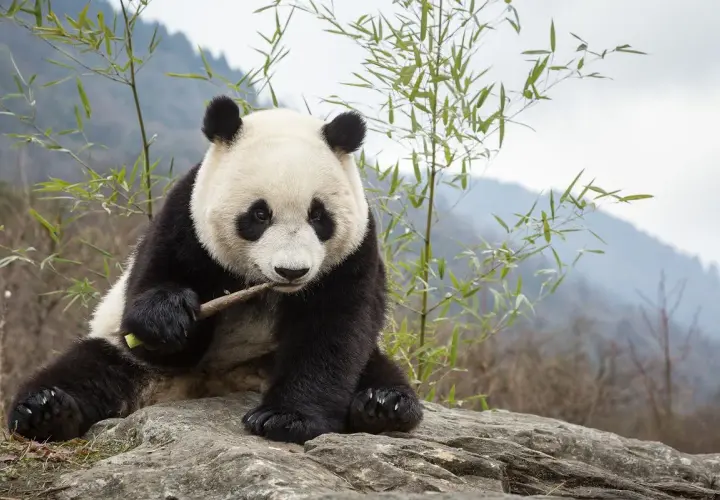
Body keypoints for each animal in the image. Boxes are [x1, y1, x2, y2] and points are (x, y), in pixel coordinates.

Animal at [6, 96, 423, 445]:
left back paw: (383, 405)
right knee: (88, 369)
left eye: (318, 216)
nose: (292, 271)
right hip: (126, 359)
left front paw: (285, 418)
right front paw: (170, 318)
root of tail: (214, 386)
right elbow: (154, 305)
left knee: (373, 369)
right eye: (259, 214)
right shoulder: (184, 221)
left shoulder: (354, 252)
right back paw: (45, 411)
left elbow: (332, 333)